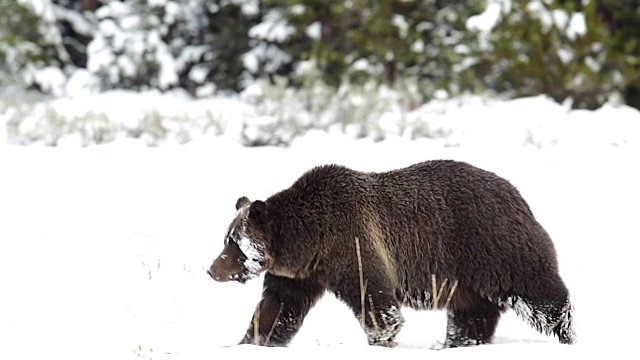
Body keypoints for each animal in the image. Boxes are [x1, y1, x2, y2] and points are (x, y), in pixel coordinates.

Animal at [208, 159, 576, 348]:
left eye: (233, 244)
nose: (212, 269)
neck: (309, 239)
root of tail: (517, 194)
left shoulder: (352, 241)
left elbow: (371, 292)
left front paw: (384, 335)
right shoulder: (301, 272)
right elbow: (279, 306)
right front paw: (252, 340)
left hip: (491, 243)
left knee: (539, 293)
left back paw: (566, 334)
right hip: (464, 275)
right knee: (472, 311)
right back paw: (458, 342)